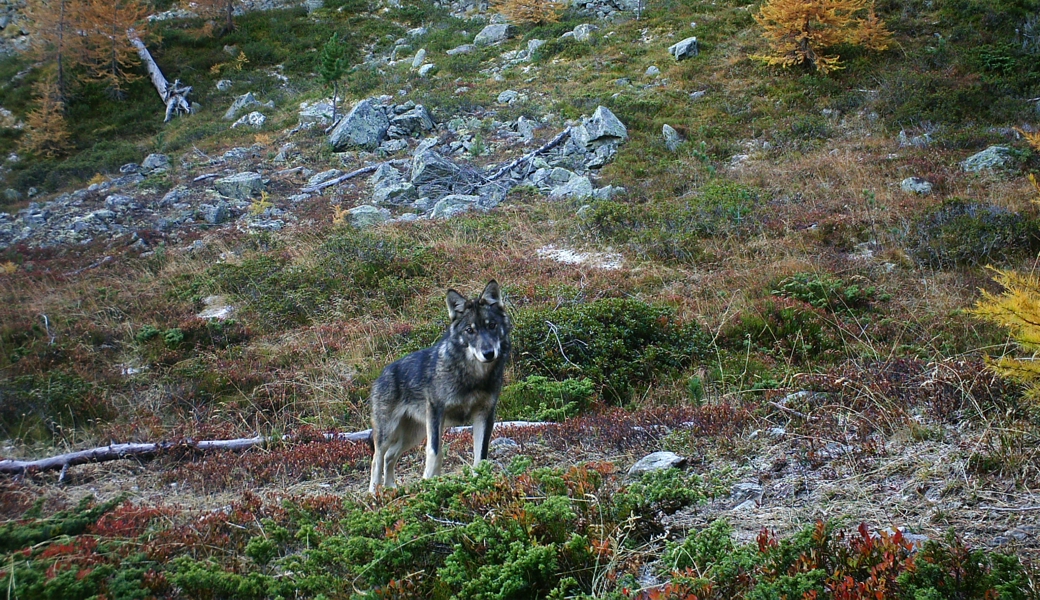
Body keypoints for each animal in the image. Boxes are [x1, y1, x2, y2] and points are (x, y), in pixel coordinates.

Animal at [368, 280, 512, 493]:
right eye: (470, 330)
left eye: (492, 325)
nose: (488, 353)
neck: (473, 376)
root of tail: (382, 374)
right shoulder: (437, 412)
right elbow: (435, 453)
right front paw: (429, 483)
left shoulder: (485, 414)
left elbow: (481, 456)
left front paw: (479, 484)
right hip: (389, 432)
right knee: (377, 459)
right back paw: (373, 493)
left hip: (413, 435)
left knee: (389, 456)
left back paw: (391, 489)